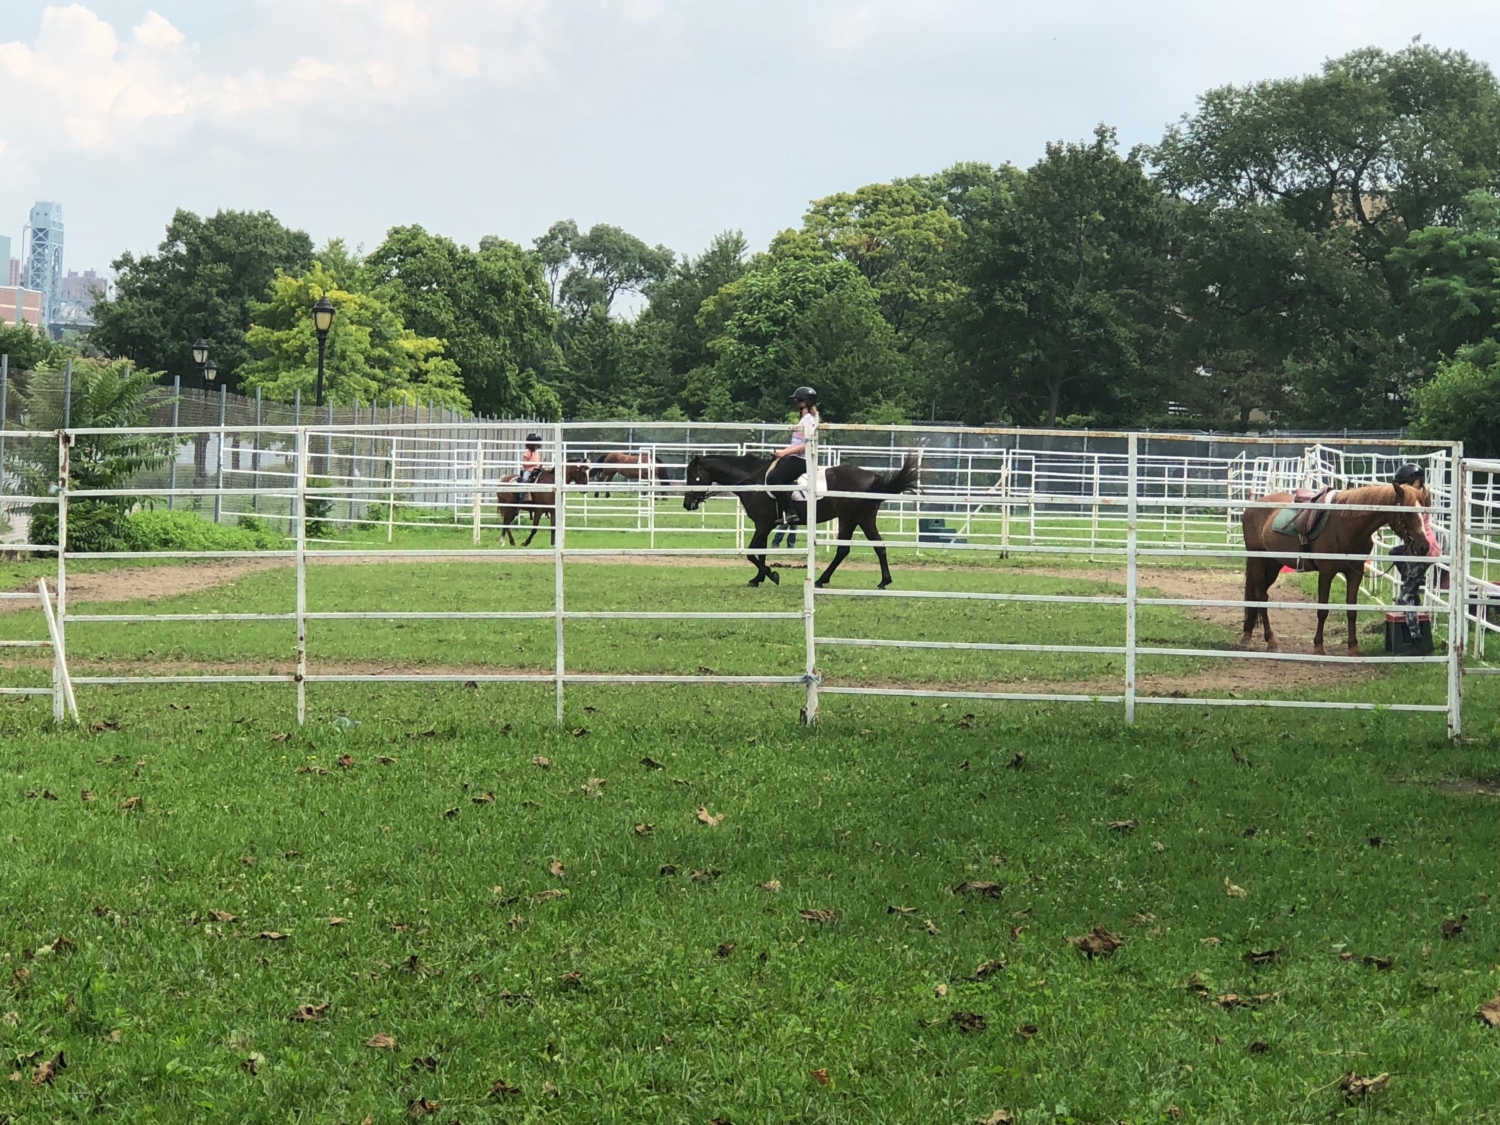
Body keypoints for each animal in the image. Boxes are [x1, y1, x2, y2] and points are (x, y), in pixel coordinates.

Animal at [1236, 486, 1434, 660]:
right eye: (1407, 513)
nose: (1424, 547)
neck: (1346, 525)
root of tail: (1252, 508)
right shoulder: (1326, 573)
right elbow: (1322, 610)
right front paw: (1318, 647)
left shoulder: (1355, 573)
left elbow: (1352, 610)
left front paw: (1353, 648)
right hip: (1257, 561)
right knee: (1260, 597)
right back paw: (1270, 642)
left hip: (1273, 564)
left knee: (1258, 595)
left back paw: (1248, 635)